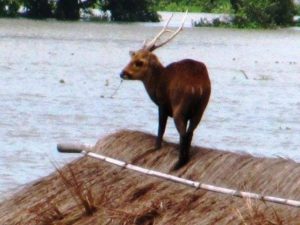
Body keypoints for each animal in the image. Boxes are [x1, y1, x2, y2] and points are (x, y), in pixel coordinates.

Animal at [119, 13, 211, 170]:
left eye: (139, 62)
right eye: (131, 58)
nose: (122, 73)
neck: (156, 83)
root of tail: (198, 86)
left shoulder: (162, 103)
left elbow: (160, 128)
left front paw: (156, 147)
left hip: (179, 106)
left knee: (183, 133)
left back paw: (178, 163)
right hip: (201, 107)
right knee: (190, 132)